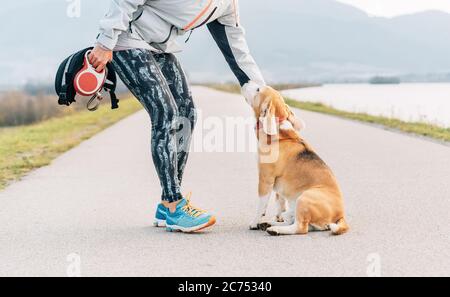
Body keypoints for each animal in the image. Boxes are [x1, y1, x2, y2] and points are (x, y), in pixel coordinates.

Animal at [250, 86, 348, 236]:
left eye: (258, 89)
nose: (249, 84)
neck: (280, 133)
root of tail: (340, 214)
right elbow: (280, 204)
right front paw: (273, 218)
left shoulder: (265, 180)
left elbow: (261, 205)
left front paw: (254, 222)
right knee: (293, 220)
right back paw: (270, 224)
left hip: (305, 197)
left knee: (301, 228)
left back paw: (275, 229)